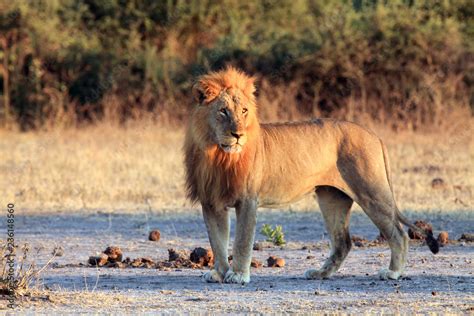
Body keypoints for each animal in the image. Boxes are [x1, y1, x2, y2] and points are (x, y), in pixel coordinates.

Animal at [183, 66, 438, 284]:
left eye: (244, 111)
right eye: (223, 111)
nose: (238, 135)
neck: (217, 154)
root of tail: (374, 135)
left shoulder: (247, 200)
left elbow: (242, 241)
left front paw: (237, 275)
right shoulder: (211, 202)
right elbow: (217, 241)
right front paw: (219, 273)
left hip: (371, 191)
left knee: (398, 233)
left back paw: (392, 272)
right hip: (332, 198)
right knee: (343, 242)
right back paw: (320, 273)